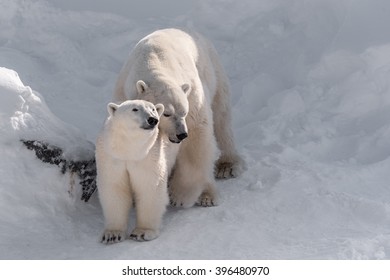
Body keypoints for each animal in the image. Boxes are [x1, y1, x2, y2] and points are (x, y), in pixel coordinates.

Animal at [96, 99, 177, 243]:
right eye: (135, 109)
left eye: (153, 109)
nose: (152, 119)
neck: (130, 151)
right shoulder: (112, 157)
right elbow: (115, 189)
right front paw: (112, 234)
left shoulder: (148, 157)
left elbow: (149, 188)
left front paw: (142, 232)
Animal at [112, 28, 244, 208]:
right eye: (166, 113)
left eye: (184, 112)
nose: (181, 134)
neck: (155, 61)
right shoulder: (125, 96)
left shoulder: (192, 95)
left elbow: (197, 136)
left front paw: (180, 195)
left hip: (214, 73)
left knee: (221, 119)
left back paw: (222, 173)